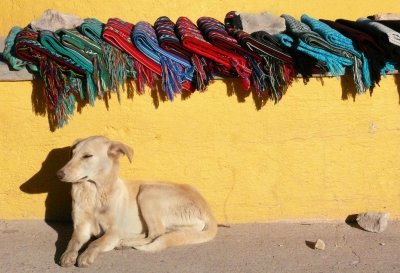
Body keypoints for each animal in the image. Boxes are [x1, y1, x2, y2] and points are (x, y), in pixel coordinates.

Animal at [55, 135, 217, 266]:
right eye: (72, 155)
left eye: (87, 156)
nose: (58, 174)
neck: (94, 194)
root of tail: (207, 207)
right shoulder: (81, 229)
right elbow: (72, 242)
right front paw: (68, 255)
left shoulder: (113, 231)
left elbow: (95, 243)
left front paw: (86, 255)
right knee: (157, 232)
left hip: (147, 192)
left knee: (156, 233)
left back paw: (126, 242)